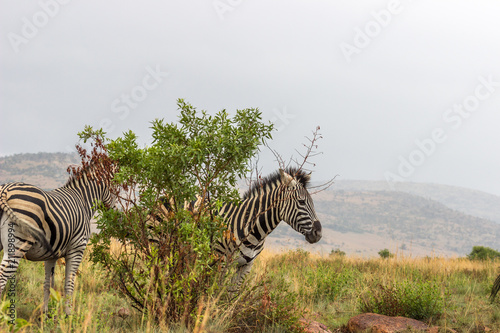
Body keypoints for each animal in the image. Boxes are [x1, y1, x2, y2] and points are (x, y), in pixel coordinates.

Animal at [0, 163, 114, 314]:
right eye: (115, 187)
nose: (115, 212)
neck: (83, 200)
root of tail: (5, 190)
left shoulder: (51, 255)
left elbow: (48, 284)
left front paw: (45, 313)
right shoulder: (77, 249)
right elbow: (69, 284)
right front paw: (68, 314)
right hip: (19, 243)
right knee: (2, 277)